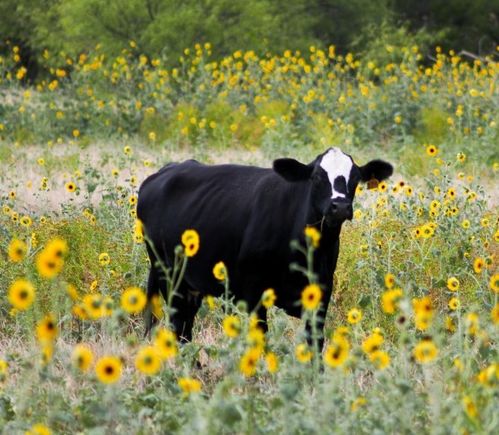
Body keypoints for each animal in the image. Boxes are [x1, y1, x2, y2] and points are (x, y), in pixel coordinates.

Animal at [138, 148, 394, 346]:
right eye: (316, 178)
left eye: (355, 179)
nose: (339, 207)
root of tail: (166, 171)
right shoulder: (253, 292)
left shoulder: (322, 291)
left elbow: (315, 341)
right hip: (169, 276)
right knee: (178, 327)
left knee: (185, 328)